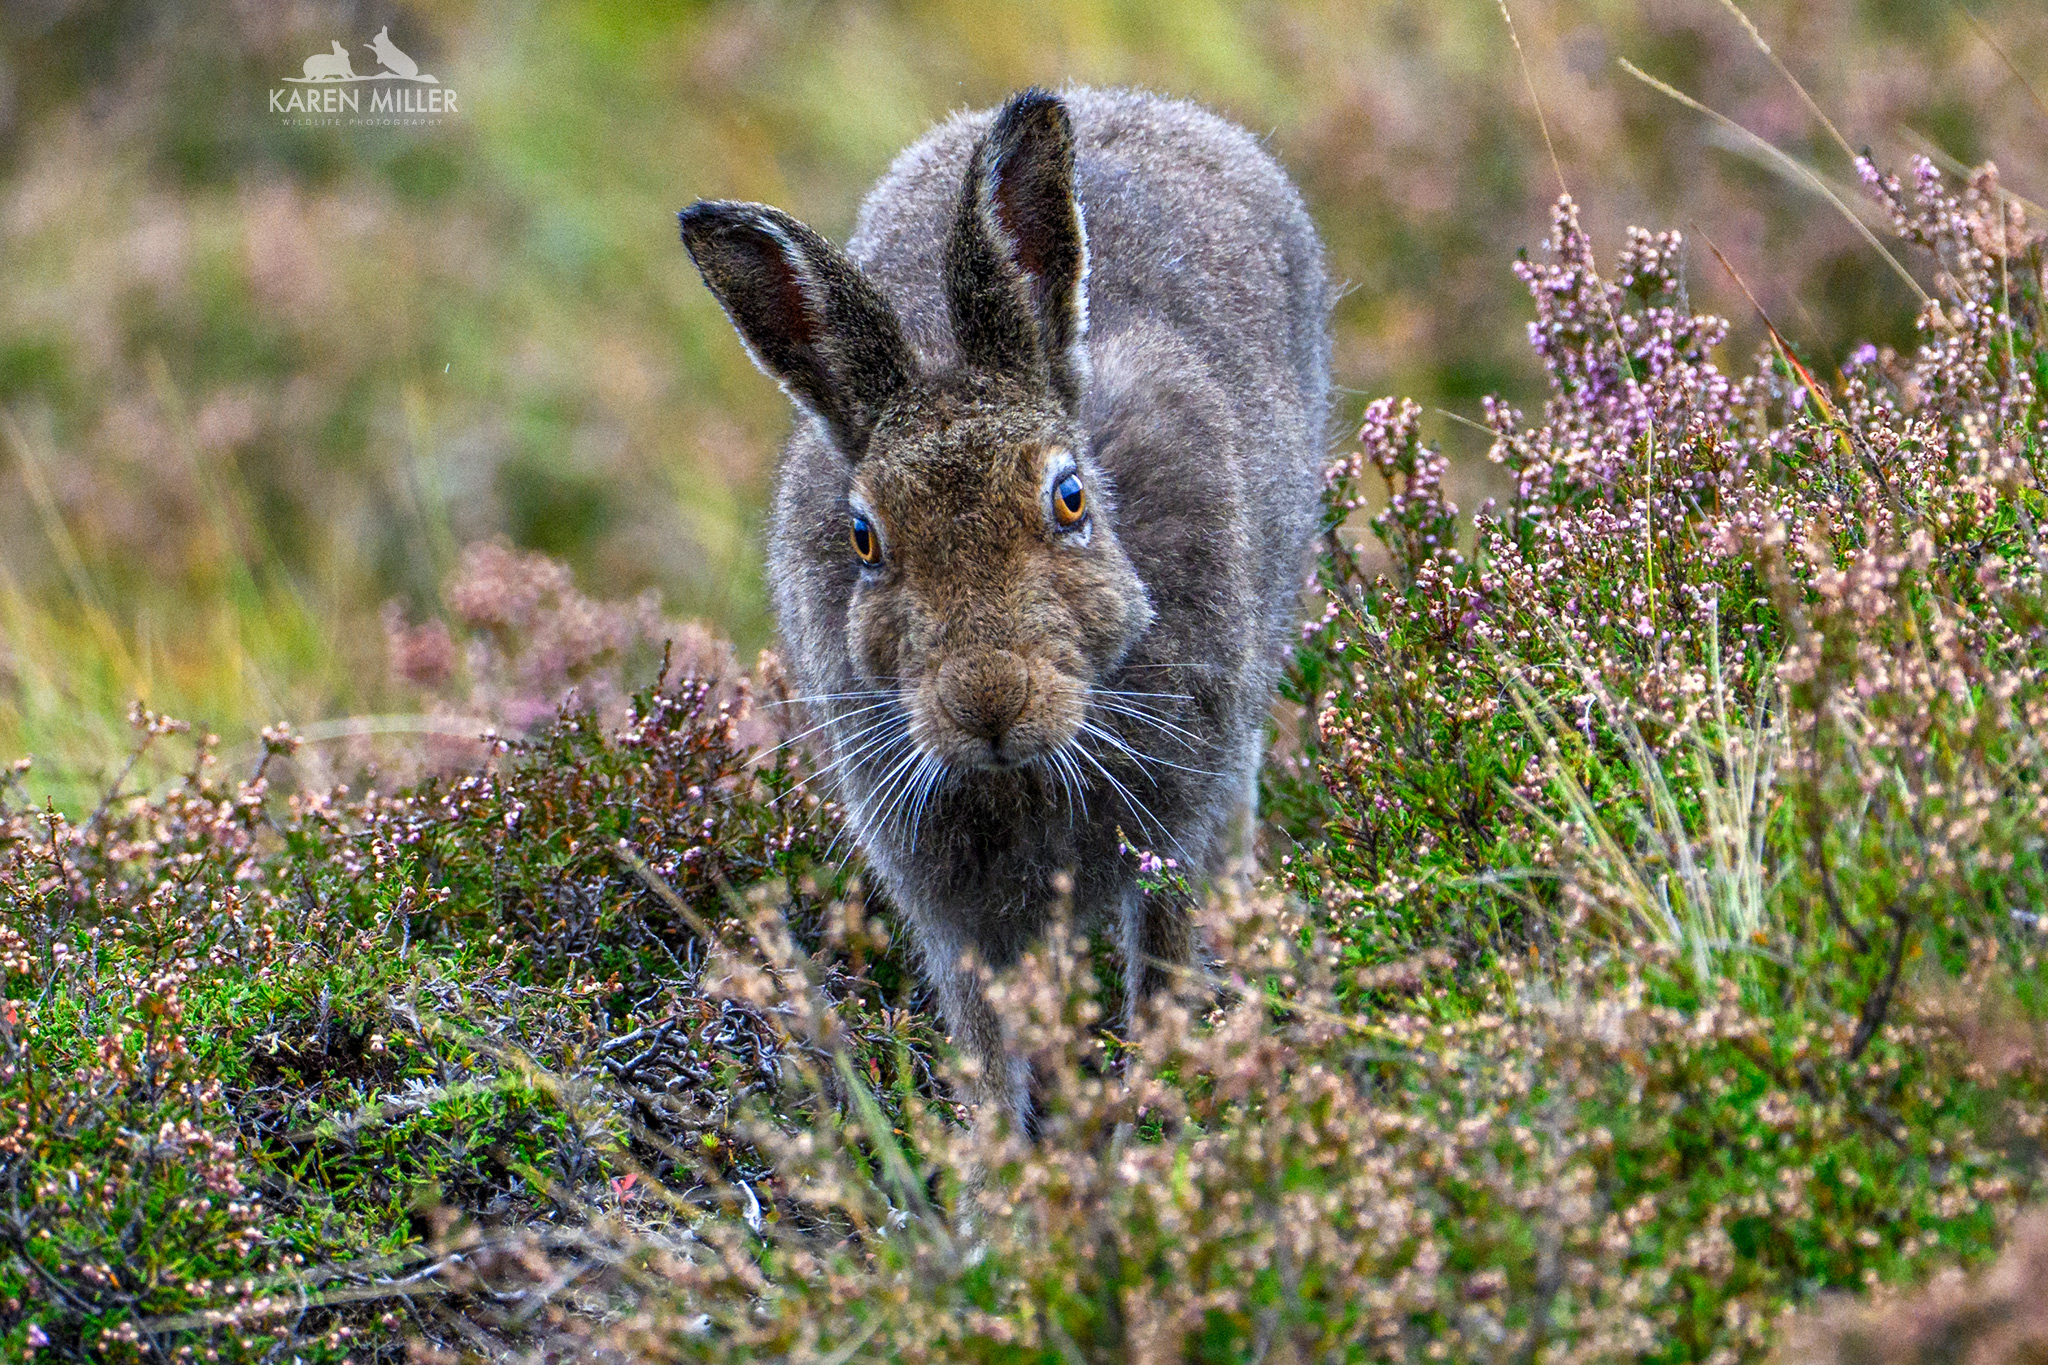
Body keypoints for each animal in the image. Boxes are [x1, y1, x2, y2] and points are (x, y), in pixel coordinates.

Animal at [679, 87, 1329, 1127]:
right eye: (864, 537)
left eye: (1069, 498)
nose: (987, 700)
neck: (1024, 770)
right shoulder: (953, 909)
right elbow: (987, 1048)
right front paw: (1001, 1163)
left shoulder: (1175, 823)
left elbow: (1163, 969)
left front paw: (1160, 1117)